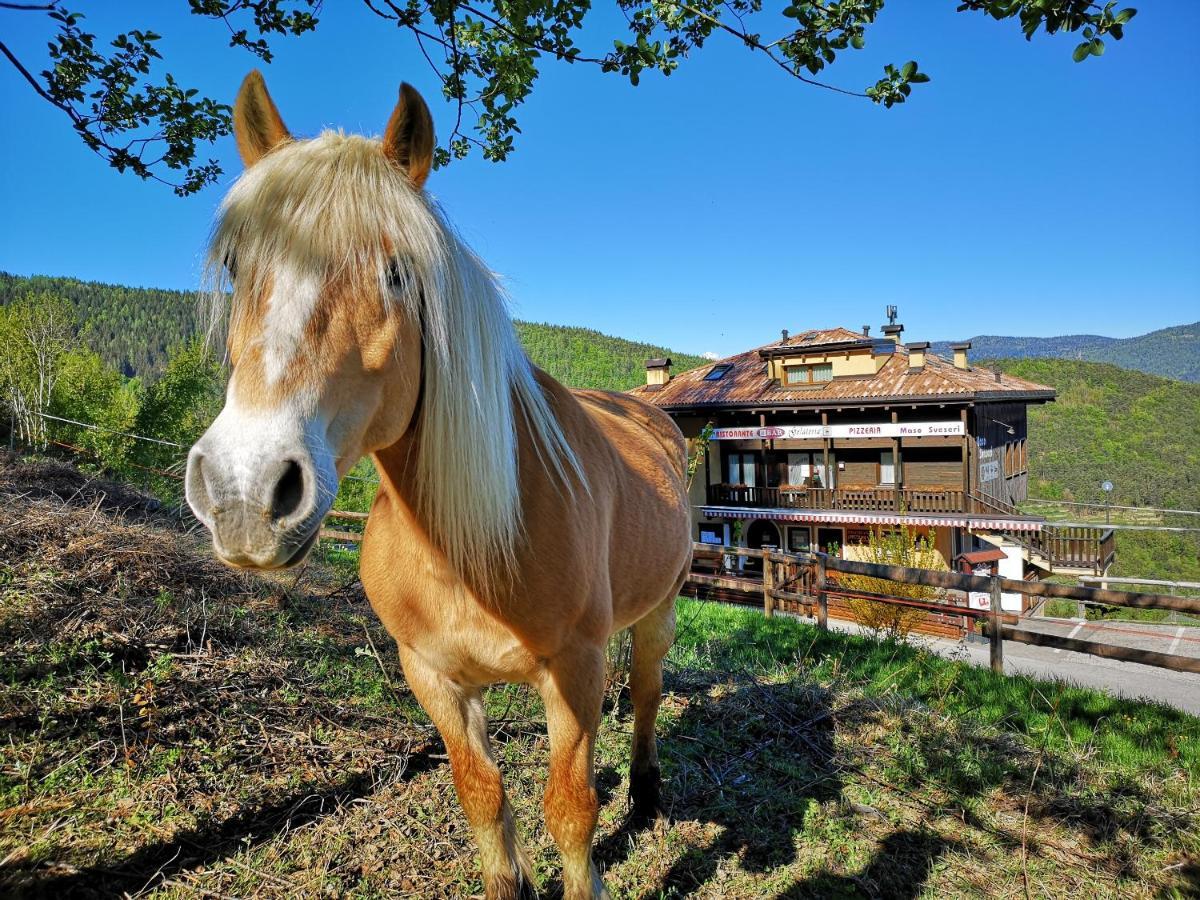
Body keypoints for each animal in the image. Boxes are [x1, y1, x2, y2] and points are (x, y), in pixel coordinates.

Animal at [187, 70, 696, 900]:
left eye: (397, 272)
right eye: (235, 265)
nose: (245, 492)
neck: (472, 538)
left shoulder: (573, 673)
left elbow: (570, 813)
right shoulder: (433, 677)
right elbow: (482, 798)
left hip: (658, 609)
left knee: (649, 694)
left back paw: (649, 794)